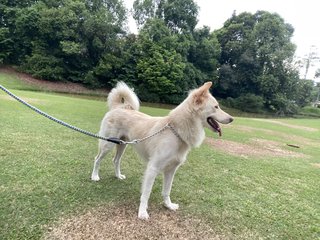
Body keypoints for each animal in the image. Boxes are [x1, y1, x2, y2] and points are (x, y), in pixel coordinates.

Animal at [91, 82, 234, 219]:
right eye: (216, 107)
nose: (232, 119)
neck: (176, 131)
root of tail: (119, 107)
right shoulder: (153, 168)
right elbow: (146, 193)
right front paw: (142, 212)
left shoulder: (171, 170)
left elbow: (166, 191)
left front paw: (168, 205)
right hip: (108, 144)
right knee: (97, 159)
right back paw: (94, 176)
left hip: (122, 144)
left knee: (116, 160)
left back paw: (118, 176)